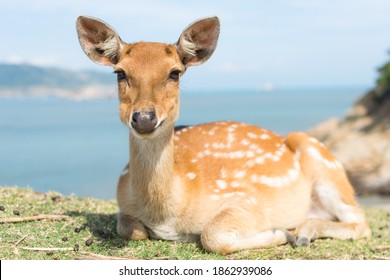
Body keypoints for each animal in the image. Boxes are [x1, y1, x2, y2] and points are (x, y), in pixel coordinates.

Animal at [76, 16, 372, 255]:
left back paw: (300, 232)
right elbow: (129, 227)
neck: (166, 213)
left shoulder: (248, 201)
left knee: (361, 221)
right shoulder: (123, 202)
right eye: (120, 73)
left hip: (322, 159)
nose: (144, 118)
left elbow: (212, 236)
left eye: (175, 73)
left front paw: (279, 233)